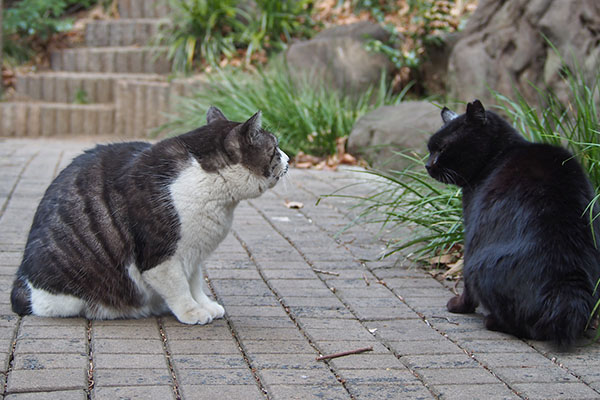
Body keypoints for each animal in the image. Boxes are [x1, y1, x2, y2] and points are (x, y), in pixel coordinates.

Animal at [11, 107, 288, 324]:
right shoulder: (162, 257)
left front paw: (206, 305)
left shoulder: (194, 254)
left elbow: (195, 282)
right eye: (274, 147)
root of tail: (21, 285)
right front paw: (193, 312)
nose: (288, 157)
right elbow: (180, 287)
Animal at [426, 100, 600, 346]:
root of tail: (566, 283)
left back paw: (492, 321)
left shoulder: (471, 230)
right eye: (430, 149)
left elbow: (467, 290)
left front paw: (458, 306)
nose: (427, 165)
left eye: (442, 149)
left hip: (477, 264)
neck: (499, 155)